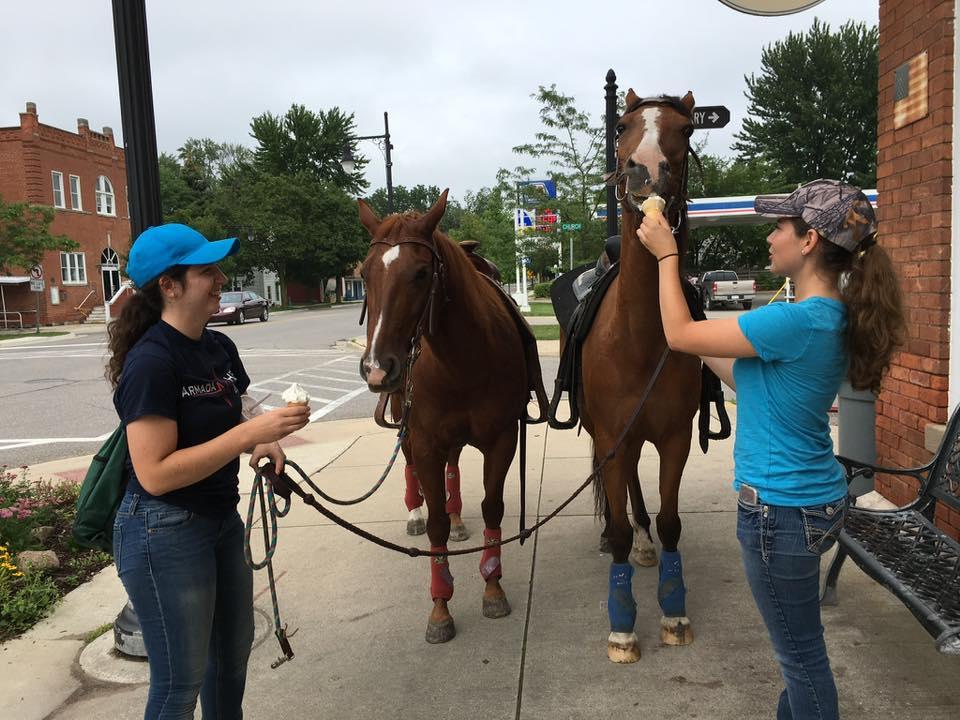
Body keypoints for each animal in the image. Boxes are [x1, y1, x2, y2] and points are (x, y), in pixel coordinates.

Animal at [356, 190, 536, 640]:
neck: (462, 360)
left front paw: (492, 585)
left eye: (421, 273)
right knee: (409, 469)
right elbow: (434, 519)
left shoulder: (502, 438)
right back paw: (415, 513)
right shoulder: (424, 441)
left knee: (453, 467)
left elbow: (493, 508)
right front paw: (440, 606)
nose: (377, 368)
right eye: (364, 273)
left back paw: (457, 519)